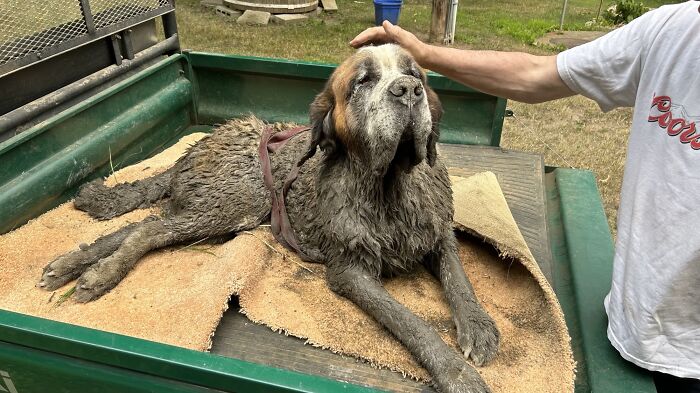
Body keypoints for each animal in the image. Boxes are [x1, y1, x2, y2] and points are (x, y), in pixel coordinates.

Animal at [37, 43, 498, 392]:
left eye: (415, 73)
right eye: (363, 81)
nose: (408, 90)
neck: (388, 186)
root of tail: (201, 144)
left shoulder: (437, 233)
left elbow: (460, 280)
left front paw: (477, 326)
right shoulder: (350, 270)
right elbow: (409, 320)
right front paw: (455, 371)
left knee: (137, 226)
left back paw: (72, 265)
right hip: (235, 204)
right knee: (149, 228)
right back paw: (101, 273)